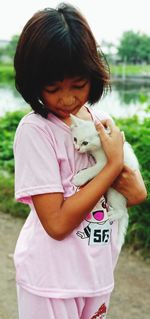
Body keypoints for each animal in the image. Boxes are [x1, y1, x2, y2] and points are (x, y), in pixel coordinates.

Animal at [71, 115, 139, 250]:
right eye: (75, 139)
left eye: (85, 142)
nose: (77, 148)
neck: (98, 148)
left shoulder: (106, 164)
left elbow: (92, 170)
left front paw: (79, 178)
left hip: (115, 194)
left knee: (123, 212)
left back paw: (114, 214)